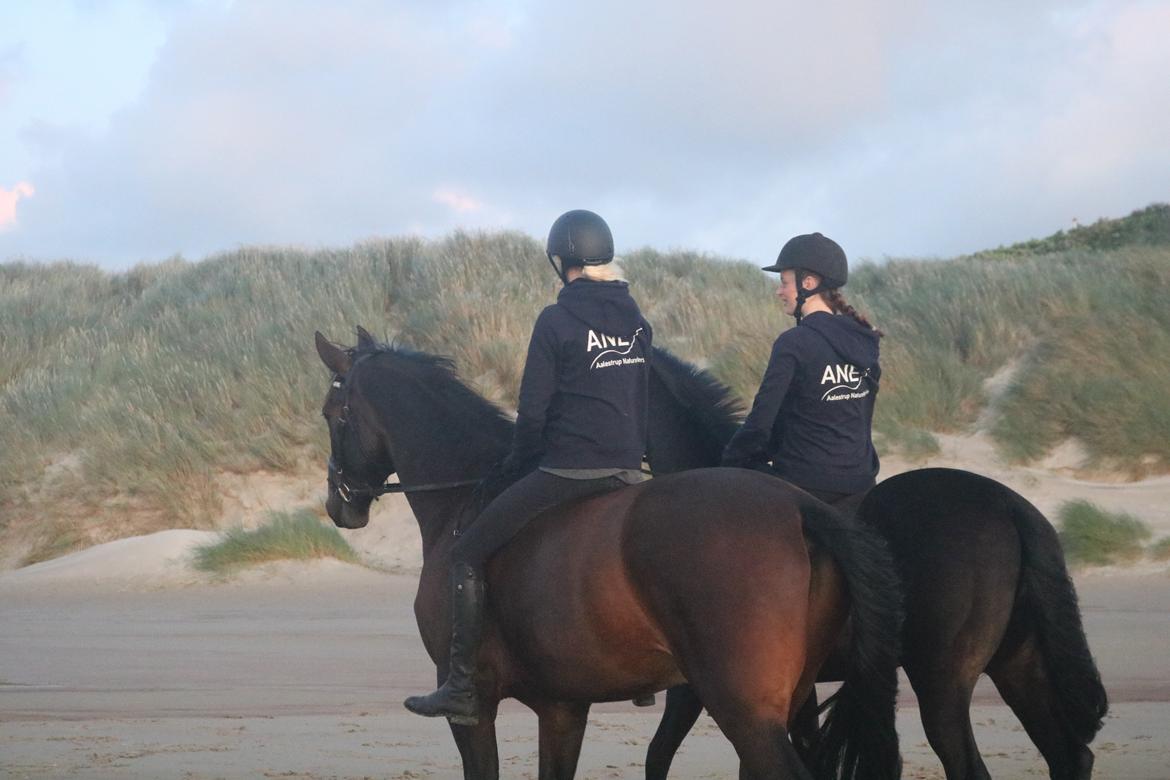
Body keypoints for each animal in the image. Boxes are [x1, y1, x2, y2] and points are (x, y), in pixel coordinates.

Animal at [313, 329, 903, 780]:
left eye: (331, 413)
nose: (339, 505)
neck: (464, 494)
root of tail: (799, 506)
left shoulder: (474, 707)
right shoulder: (563, 708)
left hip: (746, 712)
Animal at [641, 348, 1104, 780]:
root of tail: (1009, 505)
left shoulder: (696, 686)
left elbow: (660, 755)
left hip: (942, 683)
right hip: (1017, 665)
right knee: (1070, 755)